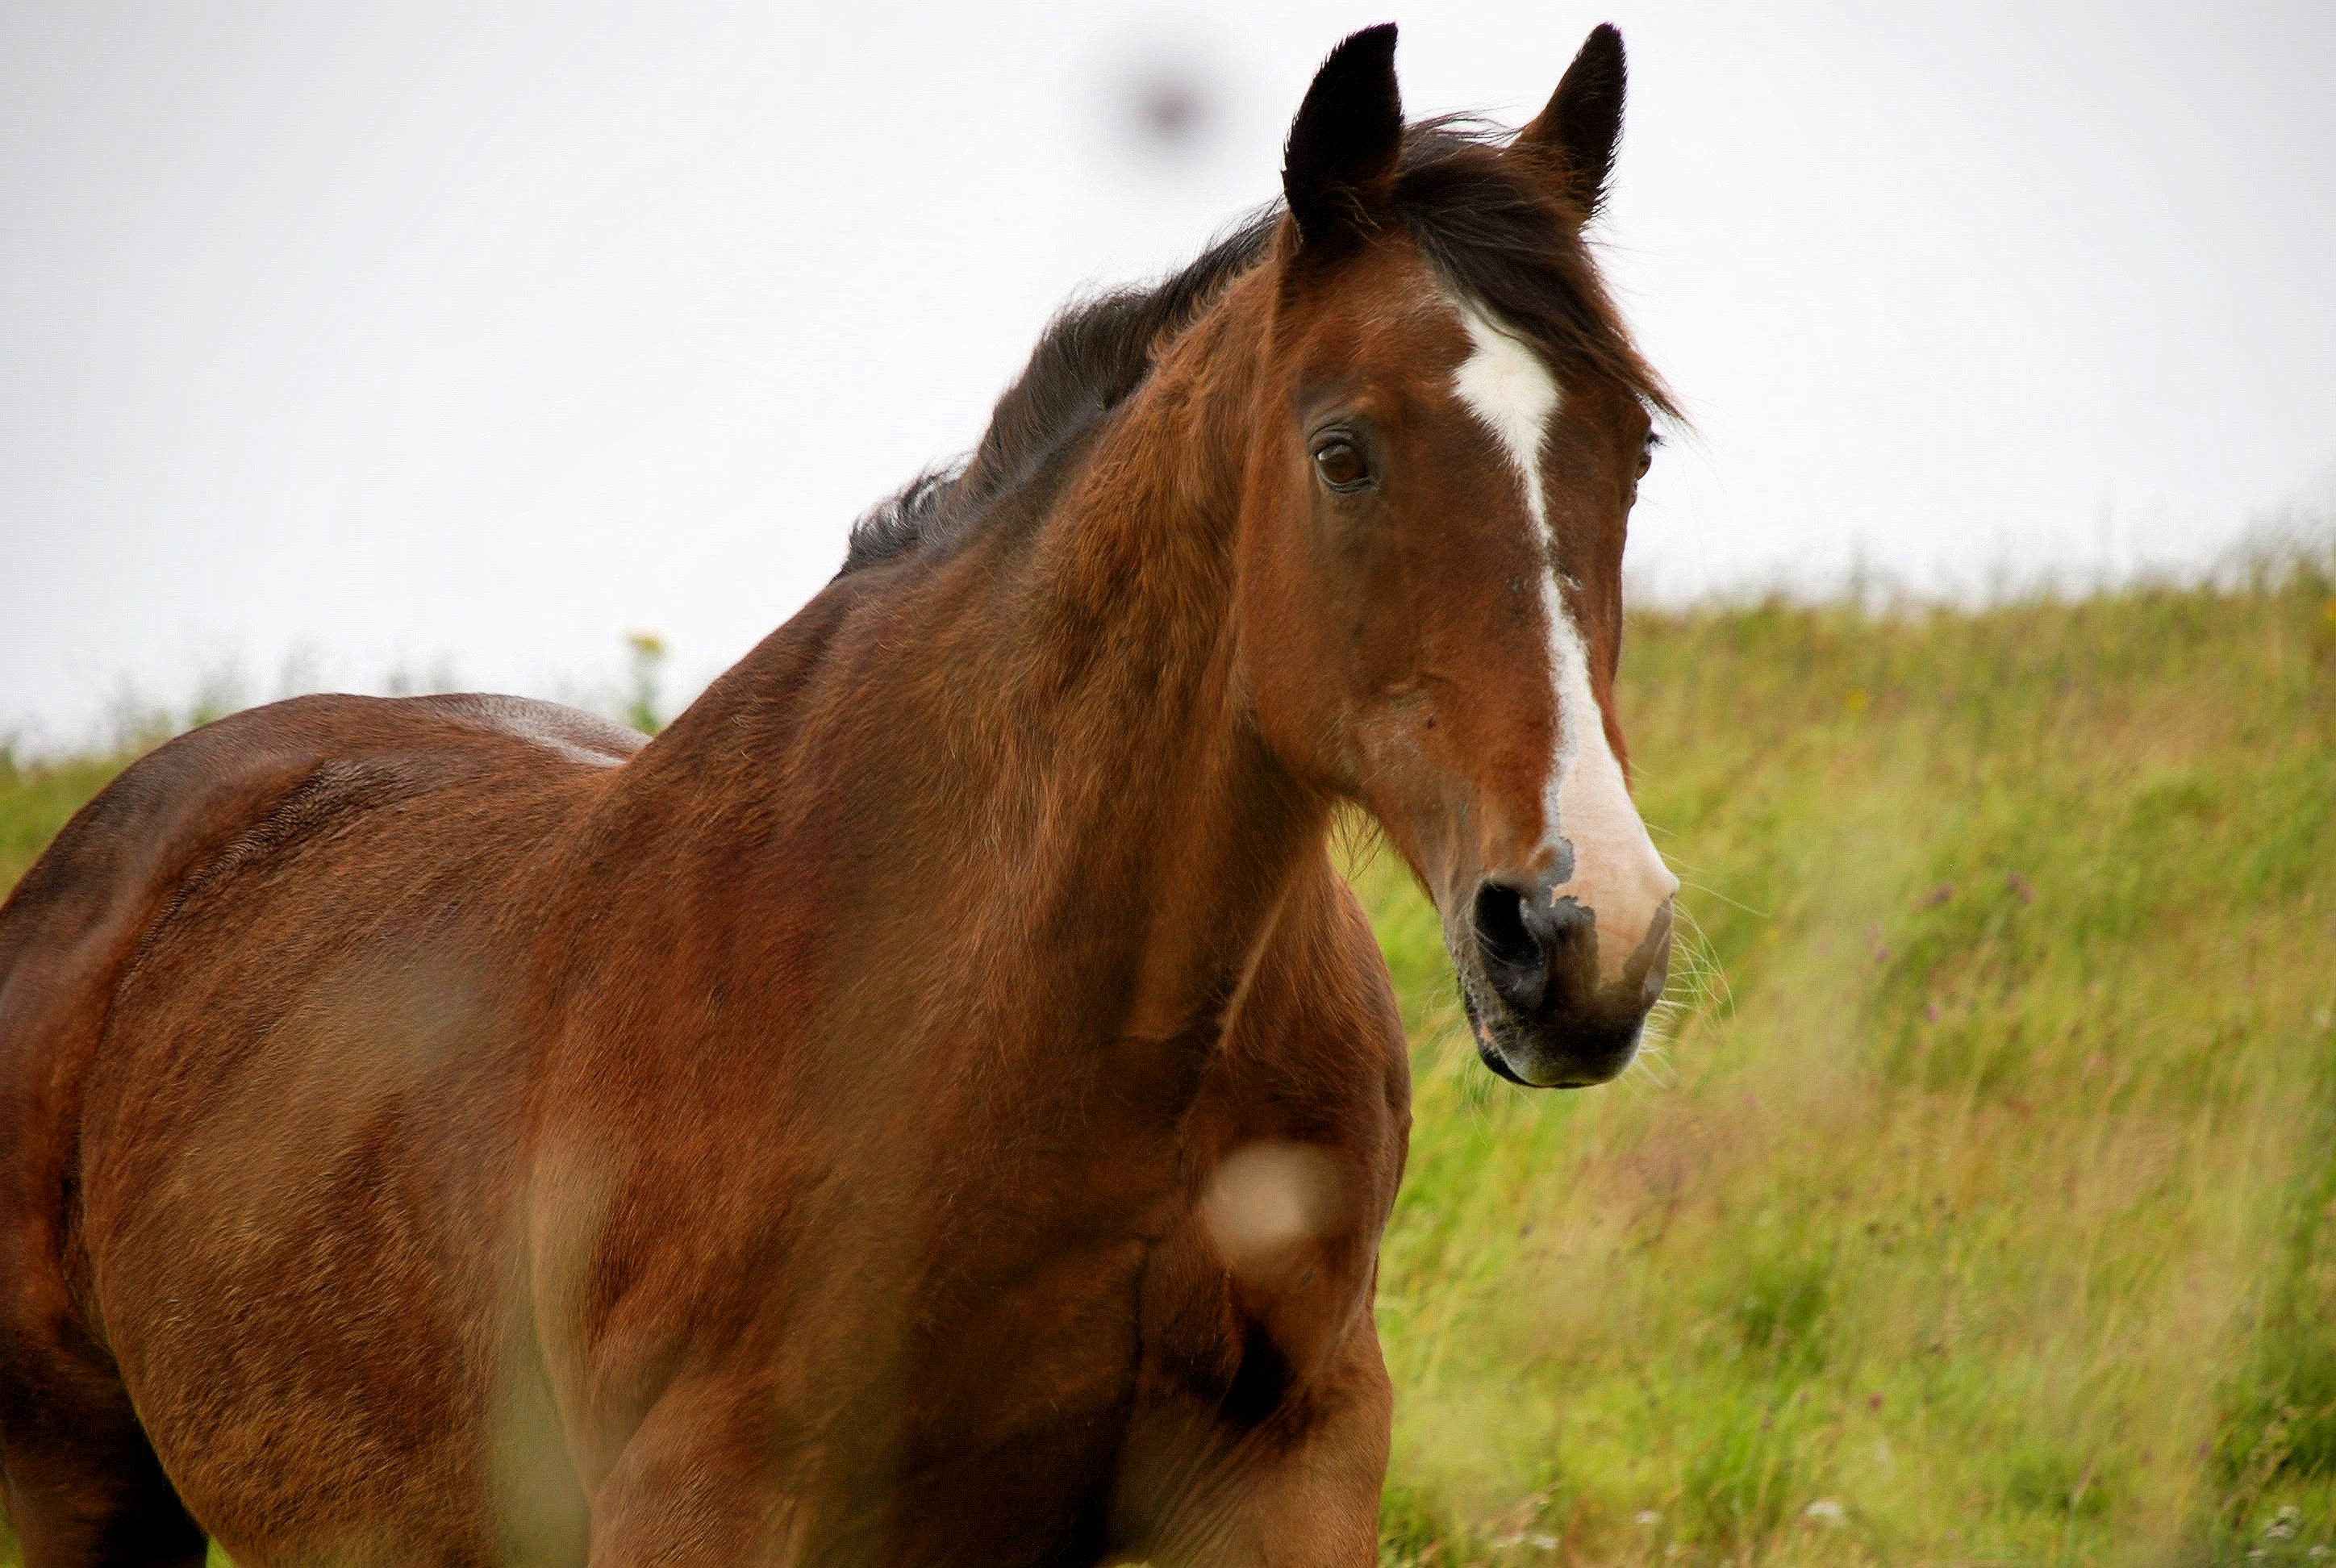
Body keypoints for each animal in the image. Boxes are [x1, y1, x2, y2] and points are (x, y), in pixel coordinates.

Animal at [0, 23, 1678, 1567]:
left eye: (1636, 448)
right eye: (1342, 451)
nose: (1584, 928)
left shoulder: (1287, 1472)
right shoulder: (707, 1506)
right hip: (82, 1489)